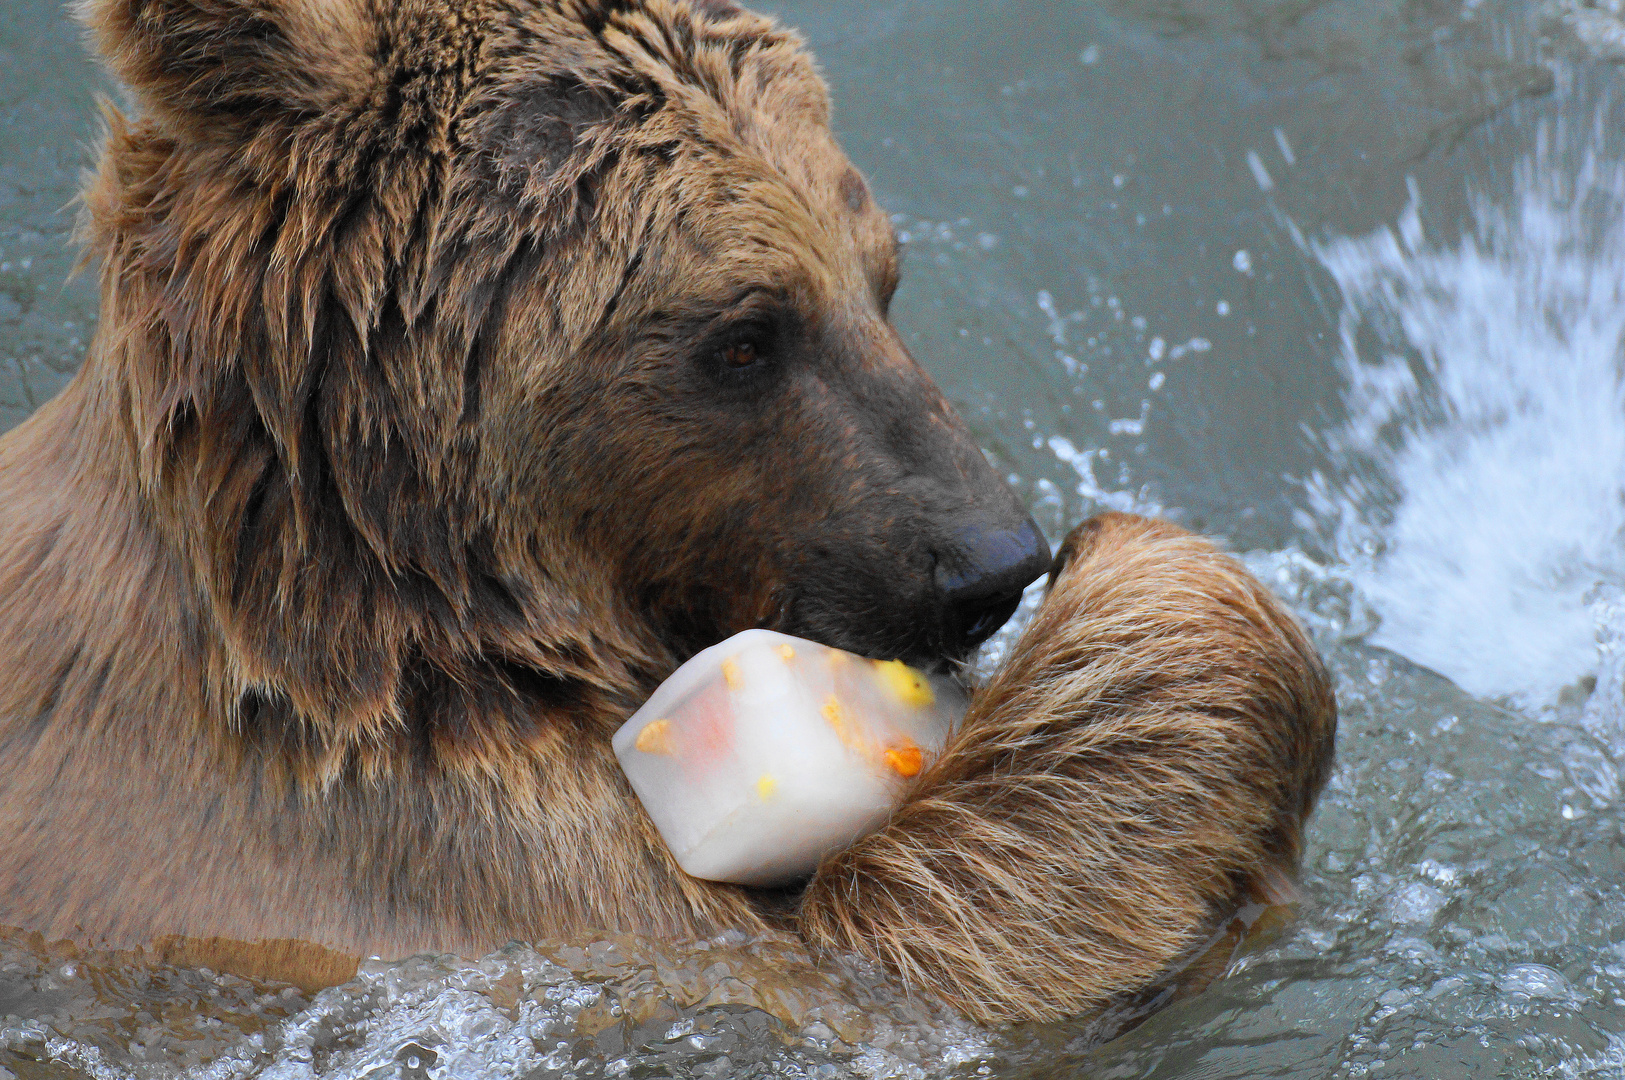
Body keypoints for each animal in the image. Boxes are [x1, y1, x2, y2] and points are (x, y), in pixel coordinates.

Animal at [0, 0, 1332, 1026]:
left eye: (881, 275)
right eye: (743, 335)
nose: (989, 564)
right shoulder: (432, 870)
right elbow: (898, 958)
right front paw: (1165, 590)